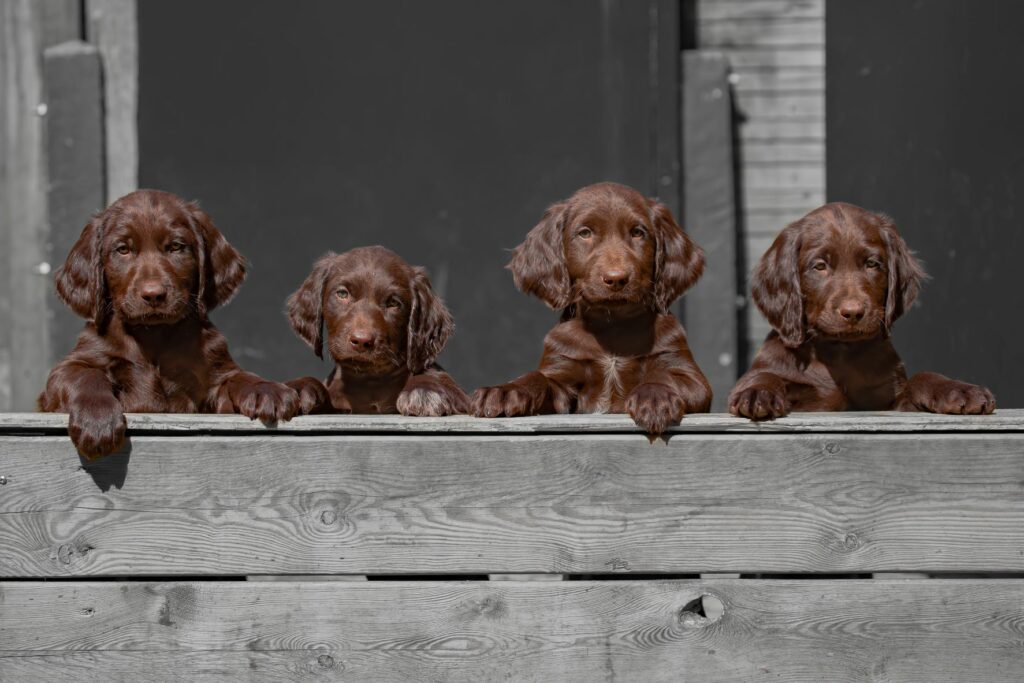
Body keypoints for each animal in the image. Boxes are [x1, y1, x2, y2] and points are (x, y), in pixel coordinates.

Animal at [39, 189, 303, 458]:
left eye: (176, 247)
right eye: (123, 249)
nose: (153, 294)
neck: (153, 335)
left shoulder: (213, 380)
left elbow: (237, 377)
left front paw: (266, 389)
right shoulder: (67, 371)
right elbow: (84, 375)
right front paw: (97, 420)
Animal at [284, 246, 468, 417]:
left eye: (393, 303)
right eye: (342, 293)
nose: (361, 341)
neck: (370, 380)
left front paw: (425, 390)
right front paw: (301, 387)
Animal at [471, 179, 712, 430]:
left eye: (638, 232)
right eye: (585, 233)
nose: (616, 278)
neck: (613, 324)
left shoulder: (690, 375)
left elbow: (666, 377)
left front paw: (655, 397)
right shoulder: (562, 375)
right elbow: (537, 377)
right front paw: (505, 390)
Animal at [733, 200, 995, 419]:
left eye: (872, 264)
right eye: (820, 266)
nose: (853, 312)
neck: (839, 351)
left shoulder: (890, 400)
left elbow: (923, 376)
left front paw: (959, 390)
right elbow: (764, 374)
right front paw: (757, 392)